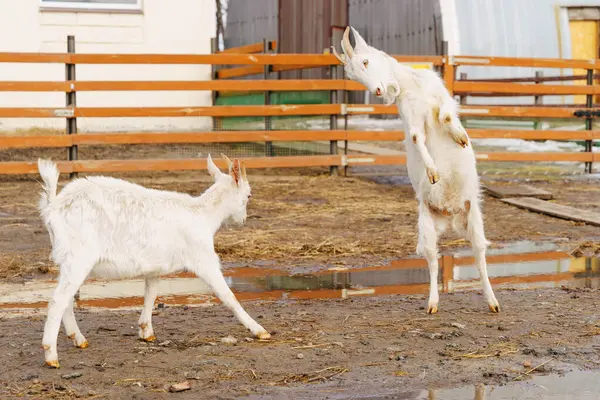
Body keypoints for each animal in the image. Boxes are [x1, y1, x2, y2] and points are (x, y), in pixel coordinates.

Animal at [36, 153, 270, 368]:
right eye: (249, 195)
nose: (243, 220)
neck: (203, 215)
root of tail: (53, 206)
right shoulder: (203, 258)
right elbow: (228, 295)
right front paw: (259, 330)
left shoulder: (155, 266)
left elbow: (151, 293)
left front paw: (146, 331)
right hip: (79, 256)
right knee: (58, 300)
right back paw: (51, 355)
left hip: (68, 259)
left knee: (65, 297)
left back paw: (78, 339)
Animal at [330, 26, 500, 316]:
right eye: (352, 76)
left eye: (365, 62)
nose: (379, 91)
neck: (410, 86)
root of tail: (450, 217)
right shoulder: (411, 118)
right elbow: (416, 138)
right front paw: (432, 172)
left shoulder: (439, 94)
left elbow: (446, 115)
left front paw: (460, 137)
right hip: (427, 224)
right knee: (433, 260)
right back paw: (432, 303)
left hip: (473, 216)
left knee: (479, 255)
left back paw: (492, 301)